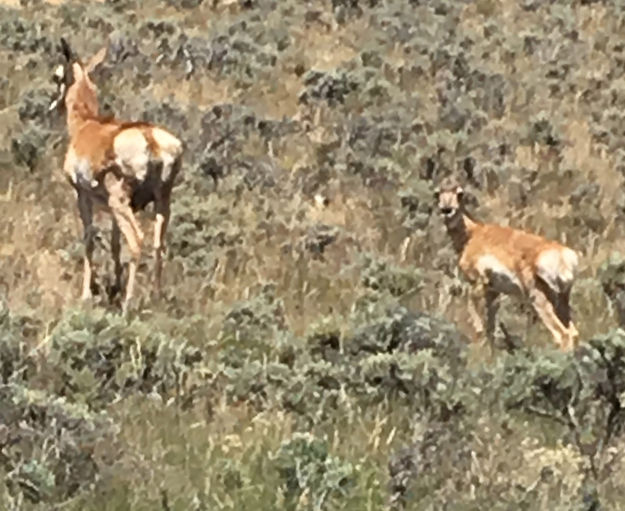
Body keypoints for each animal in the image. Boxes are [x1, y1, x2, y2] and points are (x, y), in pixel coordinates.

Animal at [50, 38, 184, 312]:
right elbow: (114, 244)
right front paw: (115, 287)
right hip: (160, 201)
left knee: (137, 240)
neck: (86, 124)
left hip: (120, 202)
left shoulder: (83, 196)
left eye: (57, 76)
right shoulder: (112, 210)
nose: (52, 104)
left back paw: (128, 304)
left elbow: (89, 239)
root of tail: (150, 138)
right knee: (159, 243)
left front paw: (87, 295)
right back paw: (155, 297)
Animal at [434, 177, 580, 352]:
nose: (447, 210)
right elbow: (490, 329)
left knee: (562, 334)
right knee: (573, 332)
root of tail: (564, 255)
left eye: (459, 194)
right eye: (437, 194)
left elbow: (474, 313)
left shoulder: (478, 284)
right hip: (562, 300)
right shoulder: (493, 292)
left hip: (538, 298)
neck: (473, 234)